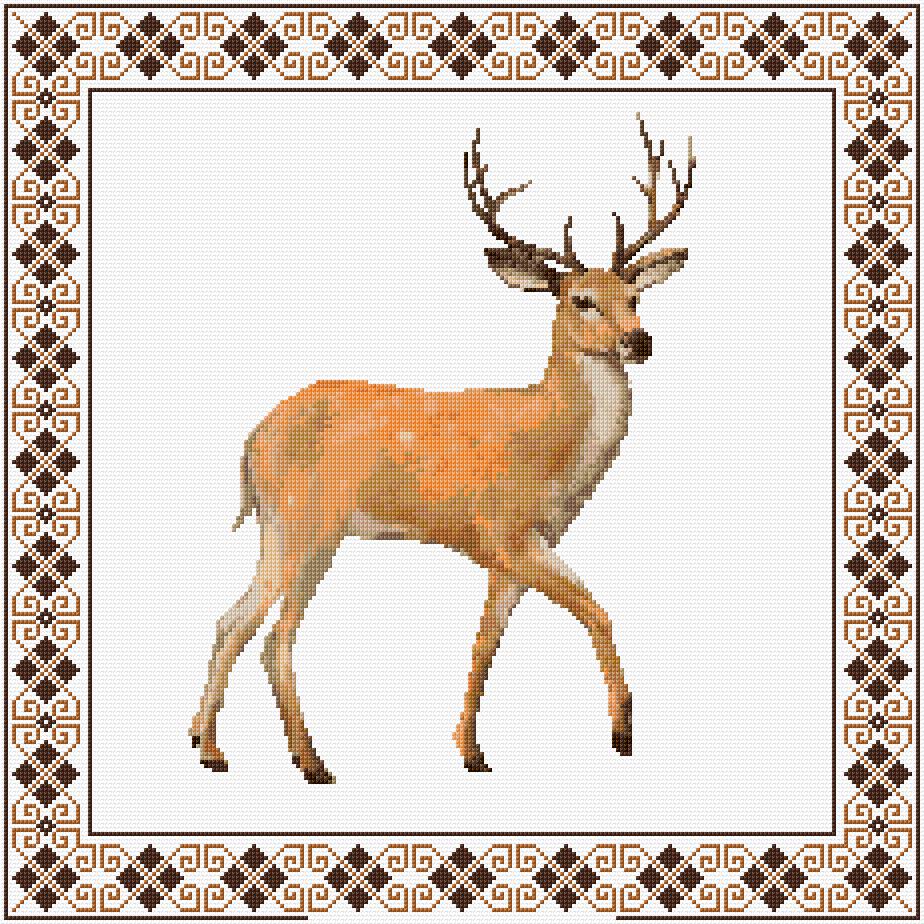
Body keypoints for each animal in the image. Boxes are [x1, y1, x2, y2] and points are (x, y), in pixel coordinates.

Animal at [188, 115, 695, 782]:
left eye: (634, 297)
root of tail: (251, 440)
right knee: (274, 635)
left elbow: (484, 642)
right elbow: (595, 609)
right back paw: (309, 762)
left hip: (287, 528)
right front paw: (621, 733)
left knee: (235, 620)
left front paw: (471, 751)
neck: (553, 447)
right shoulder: (502, 529)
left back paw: (212, 747)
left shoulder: (524, 546)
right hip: (306, 522)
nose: (640, 341)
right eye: (580, 299)